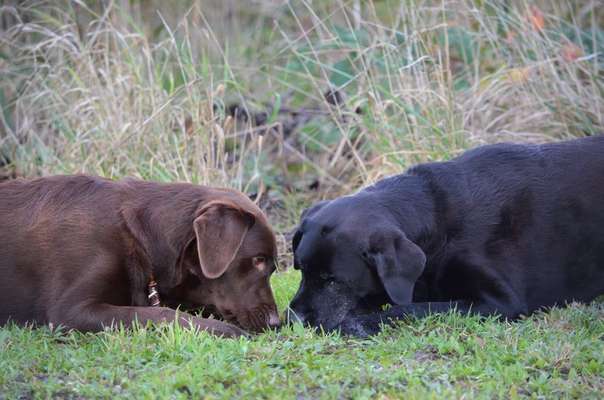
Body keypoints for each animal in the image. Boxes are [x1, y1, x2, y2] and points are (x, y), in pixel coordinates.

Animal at [0, 177, 280, 336]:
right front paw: (225, 330)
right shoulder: (69, 310)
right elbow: (162, 313)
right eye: (258, 260)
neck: (140, 237)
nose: (276, 322)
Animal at [290, 136, 604, 336]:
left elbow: (414, 309)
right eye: (302, 270)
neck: (436, 222)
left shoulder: (502, 303)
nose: (292, 319)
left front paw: (362, 323)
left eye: (333, 281)